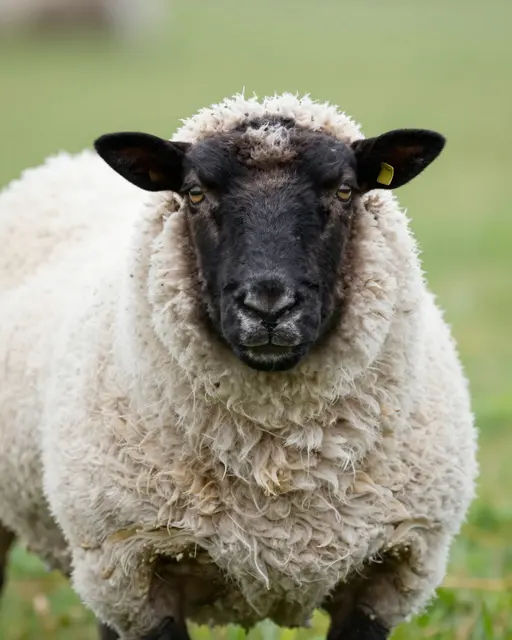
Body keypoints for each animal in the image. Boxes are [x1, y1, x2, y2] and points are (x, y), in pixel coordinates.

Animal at [0, 93, 478, 640]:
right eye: (194, 193)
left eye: (345, 191)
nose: (268, 305)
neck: (276, 464)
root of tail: (61, 163)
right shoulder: (134, 570)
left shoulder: (390, 571)